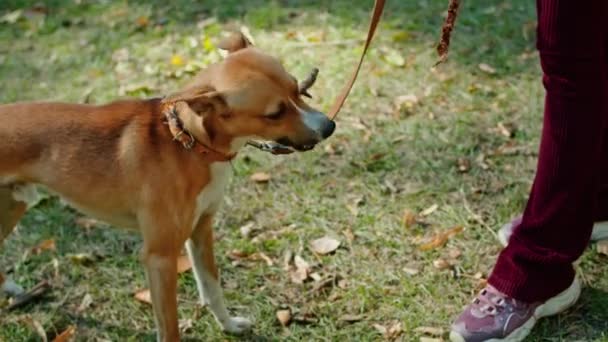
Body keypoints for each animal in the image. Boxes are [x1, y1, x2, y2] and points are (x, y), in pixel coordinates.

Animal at [0, 31, 332, 340]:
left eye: (297, 89)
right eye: (274, 114)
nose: (329, 126)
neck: (187, 142)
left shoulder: (201, 230)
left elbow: (212, 287)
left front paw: (229, 326)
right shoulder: (160, 258)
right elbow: (170, 328)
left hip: (13, 207)